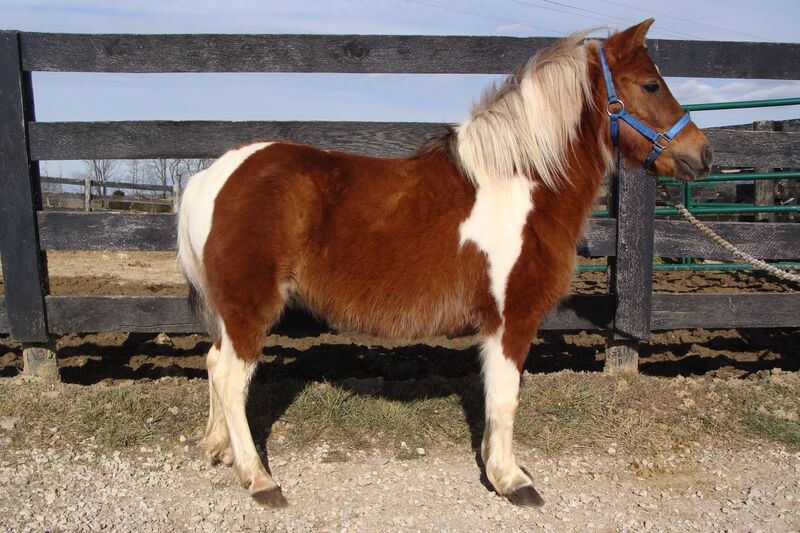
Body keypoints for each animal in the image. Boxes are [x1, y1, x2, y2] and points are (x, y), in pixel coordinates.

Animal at [177, 18, 712, 508]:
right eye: (651, 85)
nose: (702, 154)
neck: (519, 184)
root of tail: (211, 176)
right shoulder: (512, 317)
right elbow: (505, 398)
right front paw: (512, 481)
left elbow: (495, 399)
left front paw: (499, 467)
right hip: (250, 307)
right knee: (231, 378)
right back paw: (259, 479)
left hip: (231, 310)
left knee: (214, 363)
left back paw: (219, 449)